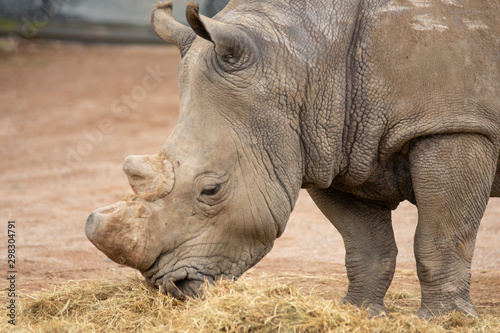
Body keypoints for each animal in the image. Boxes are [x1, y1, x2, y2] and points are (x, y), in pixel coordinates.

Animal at [84, 0, 498, 316]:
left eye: (211, 189)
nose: (173, 287)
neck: (299, 63)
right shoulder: (332, 144)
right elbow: (365, 245)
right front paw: (358, 313)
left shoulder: (454, 125)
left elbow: (441, 237)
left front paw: (444, 321)